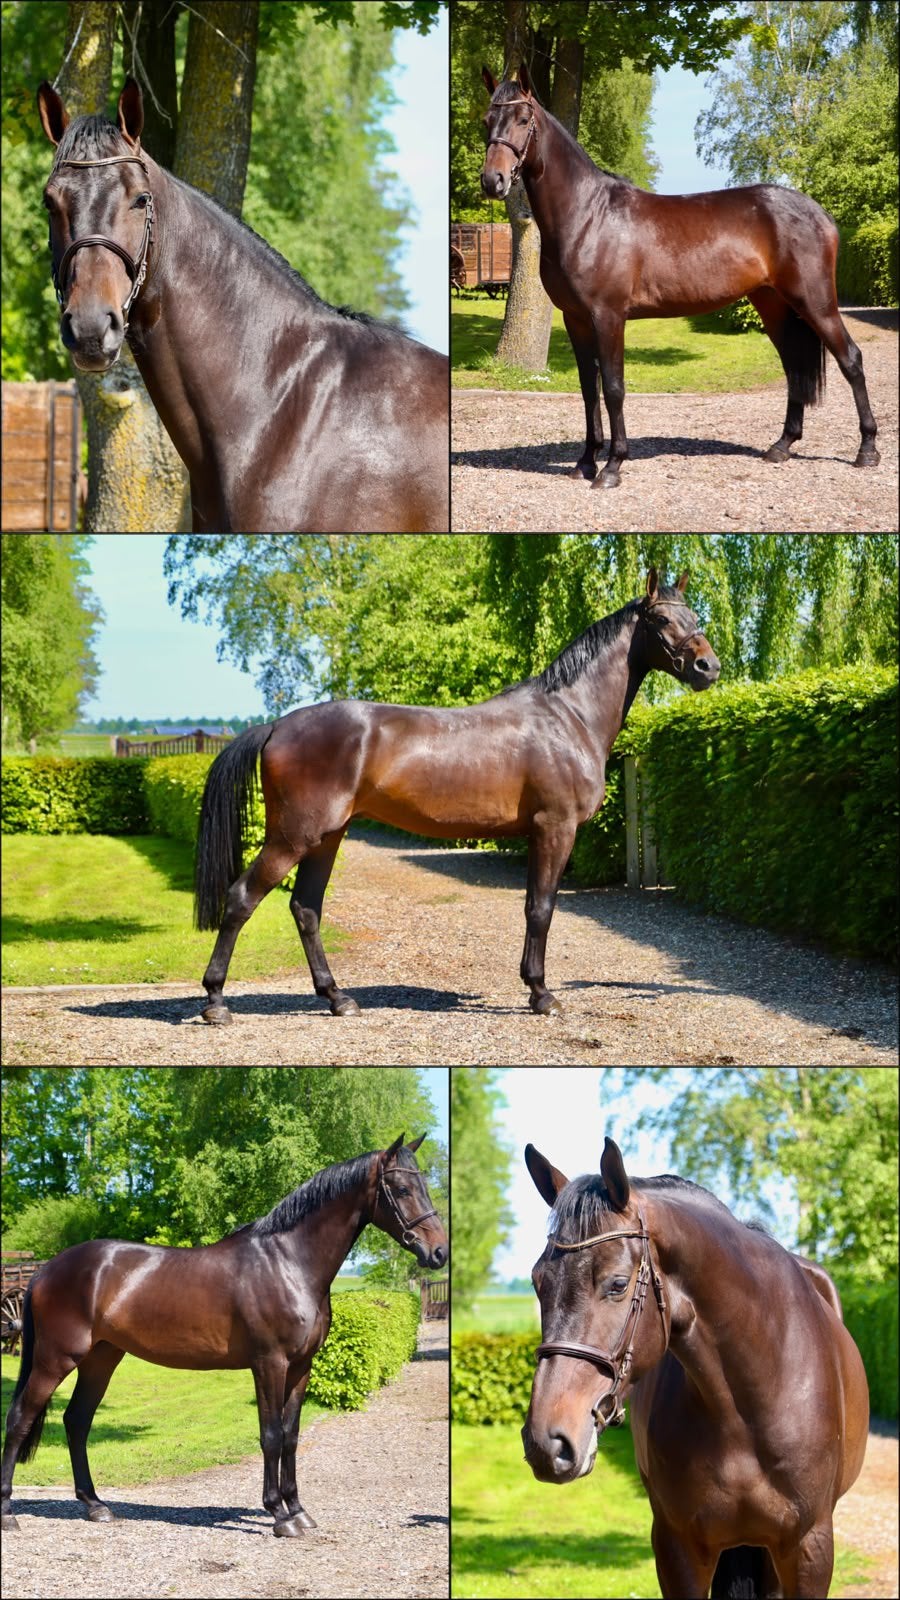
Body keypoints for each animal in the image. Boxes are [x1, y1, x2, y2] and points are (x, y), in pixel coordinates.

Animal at [1, 1135, 448, 1536]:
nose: (439, 1252)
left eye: (423, 1186)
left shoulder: (301, 1366)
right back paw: (8, 1512)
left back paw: (96, 1506)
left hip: (101, 1358)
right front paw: (279, 1515)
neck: (288, 1262)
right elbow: (271, 1435)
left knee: (77, 1421)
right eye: (402, 1189)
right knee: (20, 1417)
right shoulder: (269, 1363)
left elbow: (291, 1436)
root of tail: (46, 1270)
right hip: (56, 1358)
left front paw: (299, 1510)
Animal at [192, 567, 720, 1023]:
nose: (707, 667)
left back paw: (338, 998)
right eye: (661, 620)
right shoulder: (555, 828)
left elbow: (533, 906)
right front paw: (542, 994)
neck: (569, 716)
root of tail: (277, 725)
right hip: (293, 837)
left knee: (306, 909)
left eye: (694, 615)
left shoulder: (539, 833)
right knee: (242, 898)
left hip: (326, 837)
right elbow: (542, 908)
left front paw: (534, 987)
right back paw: (216, 1002)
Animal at [480, 65, 880, 490]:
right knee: (793, 366)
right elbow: (589, 389)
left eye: (524, 120)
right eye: (487, 120)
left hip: (816, 302)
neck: (588, 214)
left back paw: (867, 450)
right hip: (773, 303)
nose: (493, 181)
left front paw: (612, 466)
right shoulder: (575, 319)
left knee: (850, 359)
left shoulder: (608, 317)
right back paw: (782, 446)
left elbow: (614, 388)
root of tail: (820, 214)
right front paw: (586, 461)